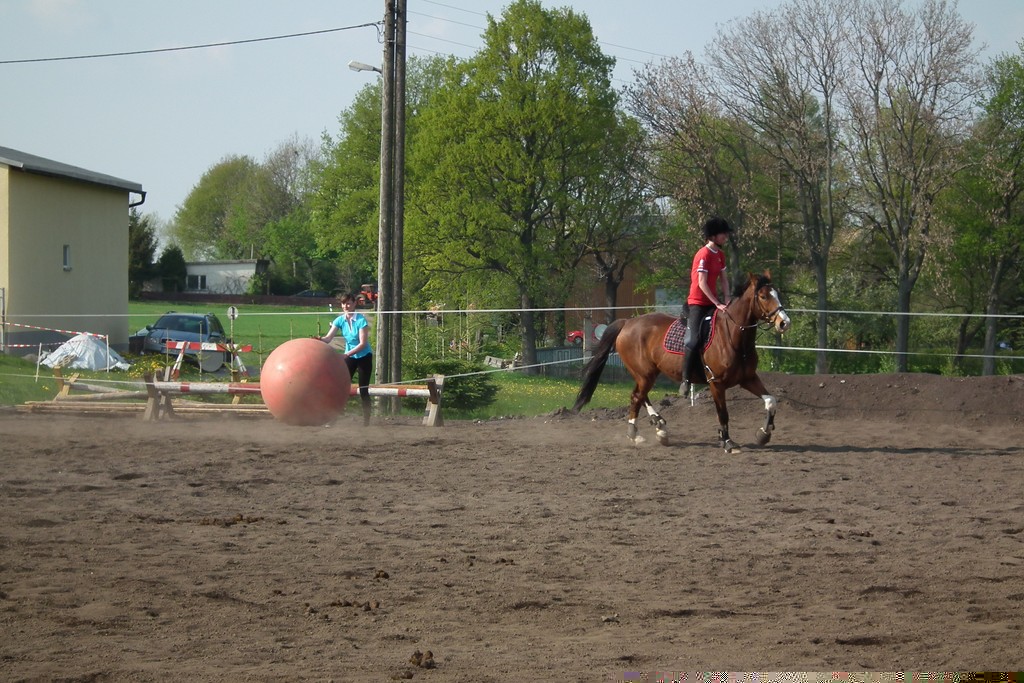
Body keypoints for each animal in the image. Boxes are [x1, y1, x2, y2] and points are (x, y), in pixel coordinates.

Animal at [572, 271, 791, 452]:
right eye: (763, 296)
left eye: (777, 294)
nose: (784, 323)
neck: (732, 337)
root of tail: (627, 323)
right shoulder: (716, 383)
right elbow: (723, 414)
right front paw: (728, 442)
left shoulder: (748, 379)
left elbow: (771, 401)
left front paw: (764, 434)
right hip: (645, 374)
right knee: (636, 397)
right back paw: (636, 434)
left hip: (645, 374)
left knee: (640, 396)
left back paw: (659, 427)